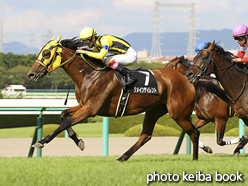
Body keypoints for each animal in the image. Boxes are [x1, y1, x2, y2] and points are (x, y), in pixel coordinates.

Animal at [26, 36, 200, 160]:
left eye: (46, 53)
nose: (31, 74)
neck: (90, 74)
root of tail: (186, 79)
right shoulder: (85, 105)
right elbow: (63, 116)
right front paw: (79, 141)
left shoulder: (91, 108)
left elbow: (65, 123)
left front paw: (41, 142)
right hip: (154, 111)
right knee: (145, 136)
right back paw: (122, 158)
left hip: (178, 113)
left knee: (194, 133)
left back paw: (195, 159)